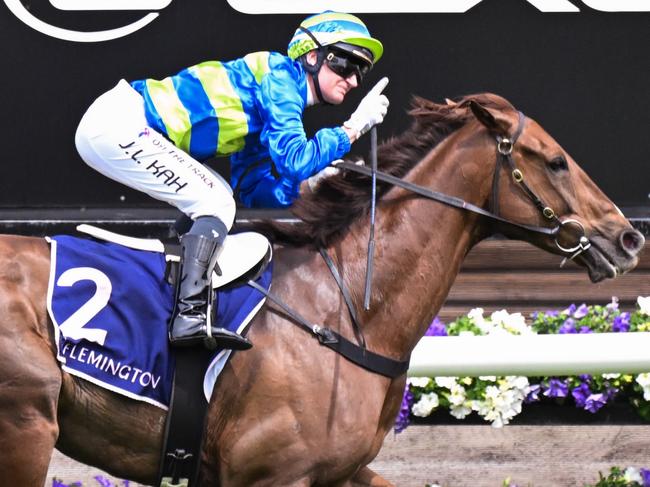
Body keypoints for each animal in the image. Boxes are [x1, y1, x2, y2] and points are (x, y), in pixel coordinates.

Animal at [0, 93, 644, 486]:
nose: (628, 237)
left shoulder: (340, 470)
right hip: (26, 426)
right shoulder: (271, 474)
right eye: (556, 162)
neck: (345, 311)